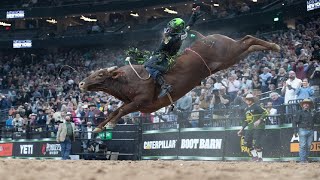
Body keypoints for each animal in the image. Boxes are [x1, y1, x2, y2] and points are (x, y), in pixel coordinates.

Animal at [79, 32, 278, 132]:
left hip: (230, 51)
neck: (128, 80)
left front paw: (109, 125)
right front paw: (98, 128)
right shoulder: (134, 103)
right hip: (232, 57)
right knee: (248, 45)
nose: (81, 84)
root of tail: (208, 37)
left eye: (100, 74)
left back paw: (275, 46)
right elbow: (115, 111)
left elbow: (121, 111)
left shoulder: (142, 102)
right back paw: (271, 46)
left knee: (247, 39)